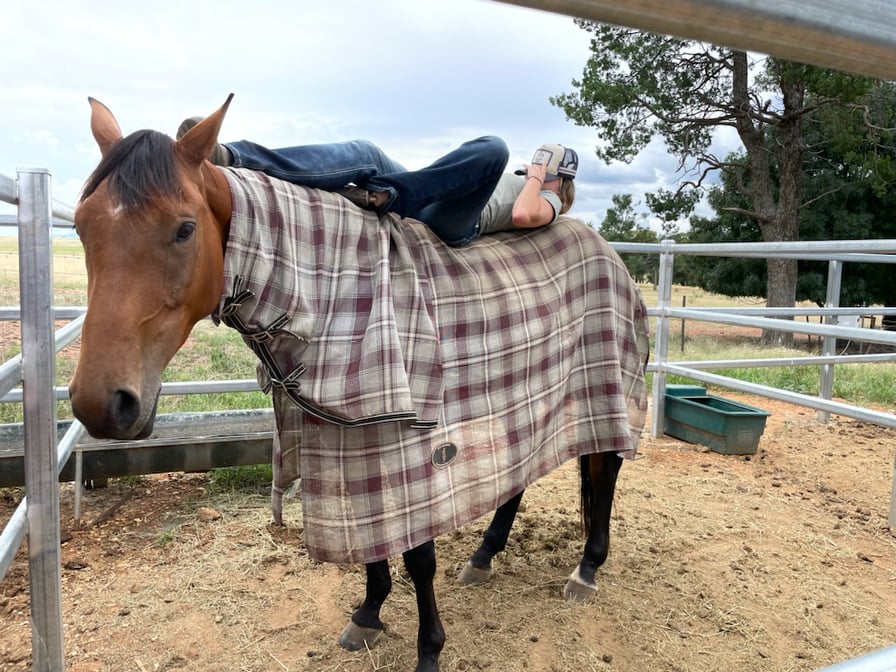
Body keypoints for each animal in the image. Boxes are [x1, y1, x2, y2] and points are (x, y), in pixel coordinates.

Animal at [68, 94, 649, 672]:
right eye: (80, 226)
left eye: (185, 228)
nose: (102, 403)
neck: (330, 290)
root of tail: (607, 252)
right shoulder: (349, 450)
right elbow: (372, 548)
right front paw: (369, 612)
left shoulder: (409, 456)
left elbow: (419, 557)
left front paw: (428, 649)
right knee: (519, 477)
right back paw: (485, 555)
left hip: (605, 389)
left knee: (605, 471)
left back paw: (586, 569)